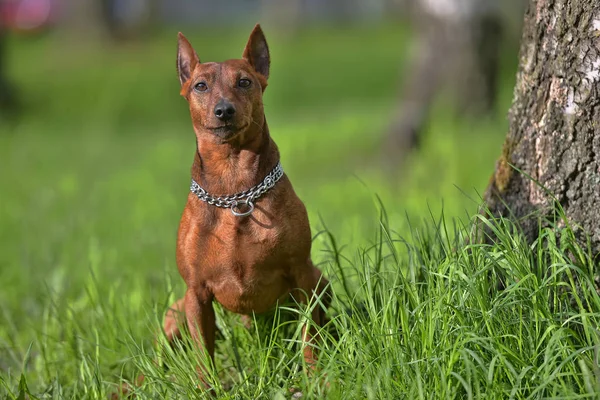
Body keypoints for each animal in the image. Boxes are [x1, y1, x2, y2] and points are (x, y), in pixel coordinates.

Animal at [162, 24, 332, 388]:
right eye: (200, 85)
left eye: (244, 82)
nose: (224, 110)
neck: (235, 190)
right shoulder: (196, 294)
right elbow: (203, 354)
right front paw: (207, 389)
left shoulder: (302, 273)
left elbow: (309, 335)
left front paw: (317, 378)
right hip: (175, 314)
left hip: (321, 282)